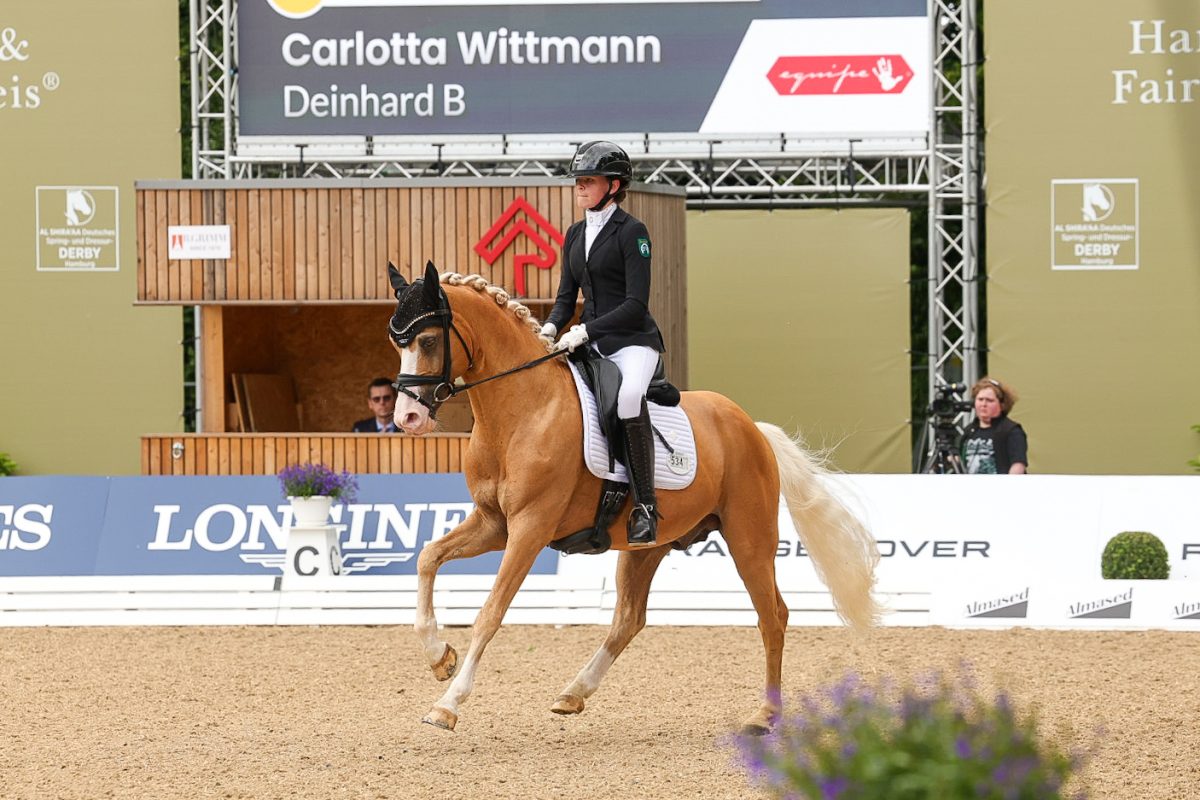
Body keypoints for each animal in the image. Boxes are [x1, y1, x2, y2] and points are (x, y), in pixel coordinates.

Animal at [386, 261, 881, 734]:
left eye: (427, 340)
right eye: (397, 343)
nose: (408, 418)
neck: (525, 409)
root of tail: (751, 428)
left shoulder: (530, 527)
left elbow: (490, 611)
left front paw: (447, 704)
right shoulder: (495, 523)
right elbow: (428, 557)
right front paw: (439, 658)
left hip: (749, 539)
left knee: (773, 615)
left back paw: (765, 715)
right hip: (648, 546)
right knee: (629, 618)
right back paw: (573, 692)